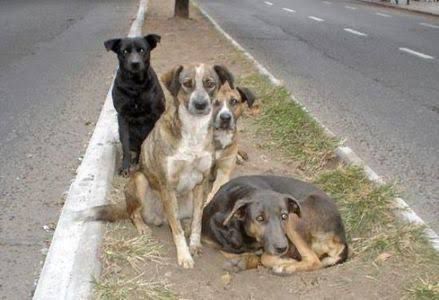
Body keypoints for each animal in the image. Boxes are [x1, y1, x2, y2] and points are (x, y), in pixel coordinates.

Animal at [87, 63, 235, 270]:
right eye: (187, 83)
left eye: (210, 84)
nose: (201, 105)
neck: (193, 131)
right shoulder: (167, 185)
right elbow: (177, 231)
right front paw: (184, 255)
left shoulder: (202, 183)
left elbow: (197, 221)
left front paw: (194, 245)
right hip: (140, 181)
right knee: (134, 213)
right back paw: (142, 227)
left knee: (184, 219)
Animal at [105, 34, 166, 176]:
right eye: (124, 51)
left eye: (142, 50)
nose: (135, 63)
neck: (135, 85)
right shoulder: (122, 116)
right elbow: (125, 145)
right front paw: (125, 166)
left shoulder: (156, 113)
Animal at [203, 175, 350, 276]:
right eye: (259, 218)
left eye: (283, 216)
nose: (282, 248)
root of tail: (342, 238)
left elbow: (264, 257)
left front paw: (286, 262)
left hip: (294, 219)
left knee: (314, 260)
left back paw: (286, 267)